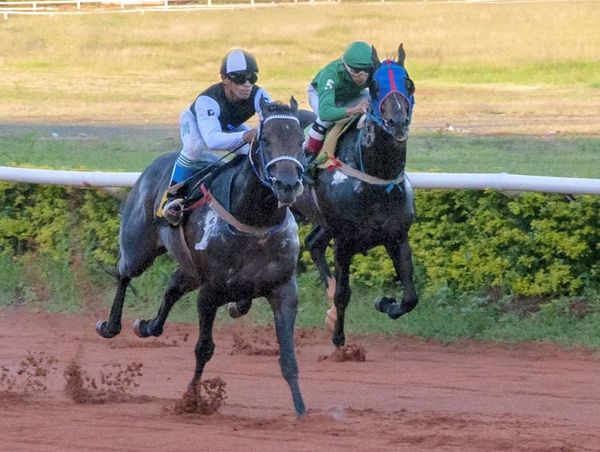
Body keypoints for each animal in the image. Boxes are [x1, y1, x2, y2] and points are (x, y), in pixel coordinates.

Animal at [97, 98, 310, 416]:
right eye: (266, 141)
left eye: (300, 141)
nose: (287, 185)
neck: (254, 220)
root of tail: (155, 165)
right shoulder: (210, 292)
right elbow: (204, 348)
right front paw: (192, 399)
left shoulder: (283, 289)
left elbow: (288, 357)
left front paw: (301, 411)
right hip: (139, 248)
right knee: (124, 273)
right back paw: (111, 326)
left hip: (190, 270)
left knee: (172, 288)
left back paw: (148, 326)